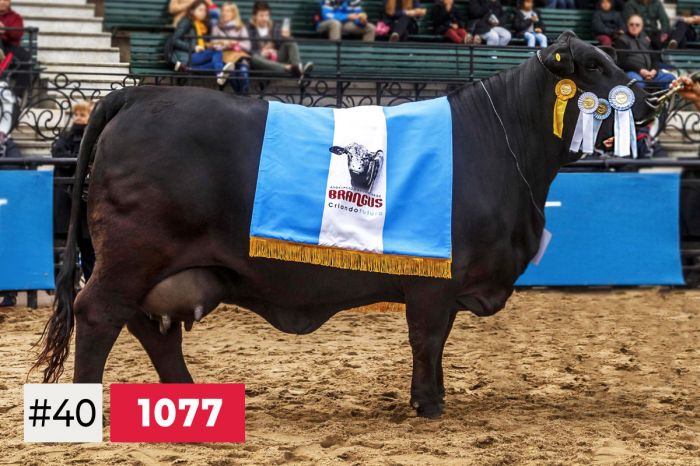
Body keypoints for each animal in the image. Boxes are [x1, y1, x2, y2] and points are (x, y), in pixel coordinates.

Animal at [34, 32, 659, 418]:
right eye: (593, 66)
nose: (649, 100)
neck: (501, 146)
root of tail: (138, 96)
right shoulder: (434, 281)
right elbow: (428, 338)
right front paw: (428, 404)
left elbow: (433, 342)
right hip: (131, 255)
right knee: (100, 314)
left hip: (157, 267)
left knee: (151, 329)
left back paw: (189, 398)